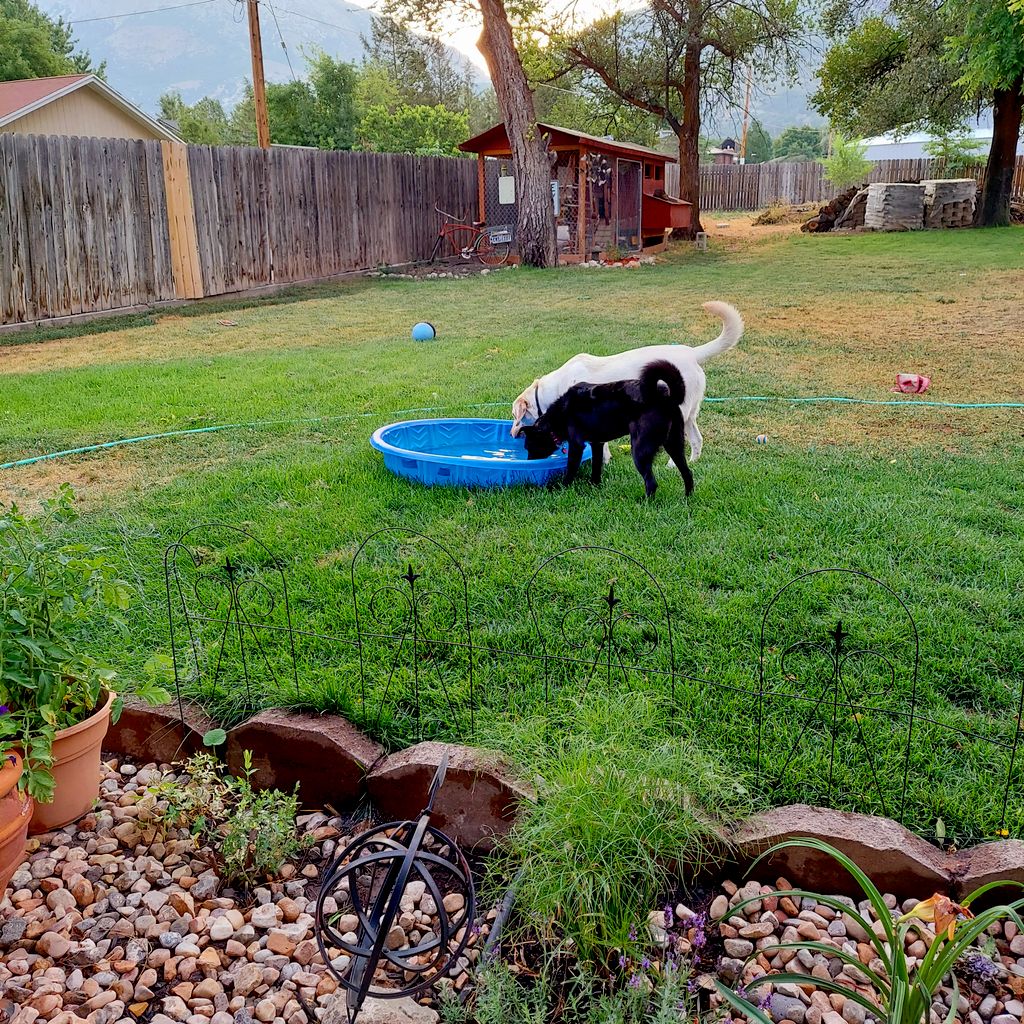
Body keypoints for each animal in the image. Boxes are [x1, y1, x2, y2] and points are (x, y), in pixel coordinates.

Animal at [520, 358, 696, 497]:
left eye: (529, 446)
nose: (528, 463)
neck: (560, 414)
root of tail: (664, 398)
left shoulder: (576, 445)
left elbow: (571, 469)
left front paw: (562, 488)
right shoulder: (597, 444)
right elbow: (596, 467)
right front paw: (594, 485)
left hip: (639, 450)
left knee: (651, 483)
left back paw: (645, 504)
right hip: (674, 445)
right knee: (687, 473)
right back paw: (686, 499)